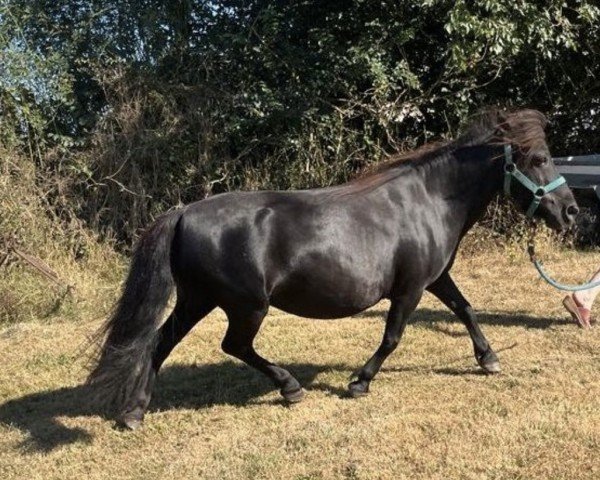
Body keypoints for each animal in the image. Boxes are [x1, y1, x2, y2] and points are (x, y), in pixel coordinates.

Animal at [88, 108, 576, 428]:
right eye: (537, 159)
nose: (570, 212)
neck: (430, 200)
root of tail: (184, 212)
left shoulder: (436, 279)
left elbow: (466, 309)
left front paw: (488, 359)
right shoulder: (411, 288)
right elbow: (393, 337)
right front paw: (359, 382)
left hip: (198, 300)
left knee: (161, 342)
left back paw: (134, 413)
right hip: (245, 306)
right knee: (233, 345)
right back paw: (290, 388)